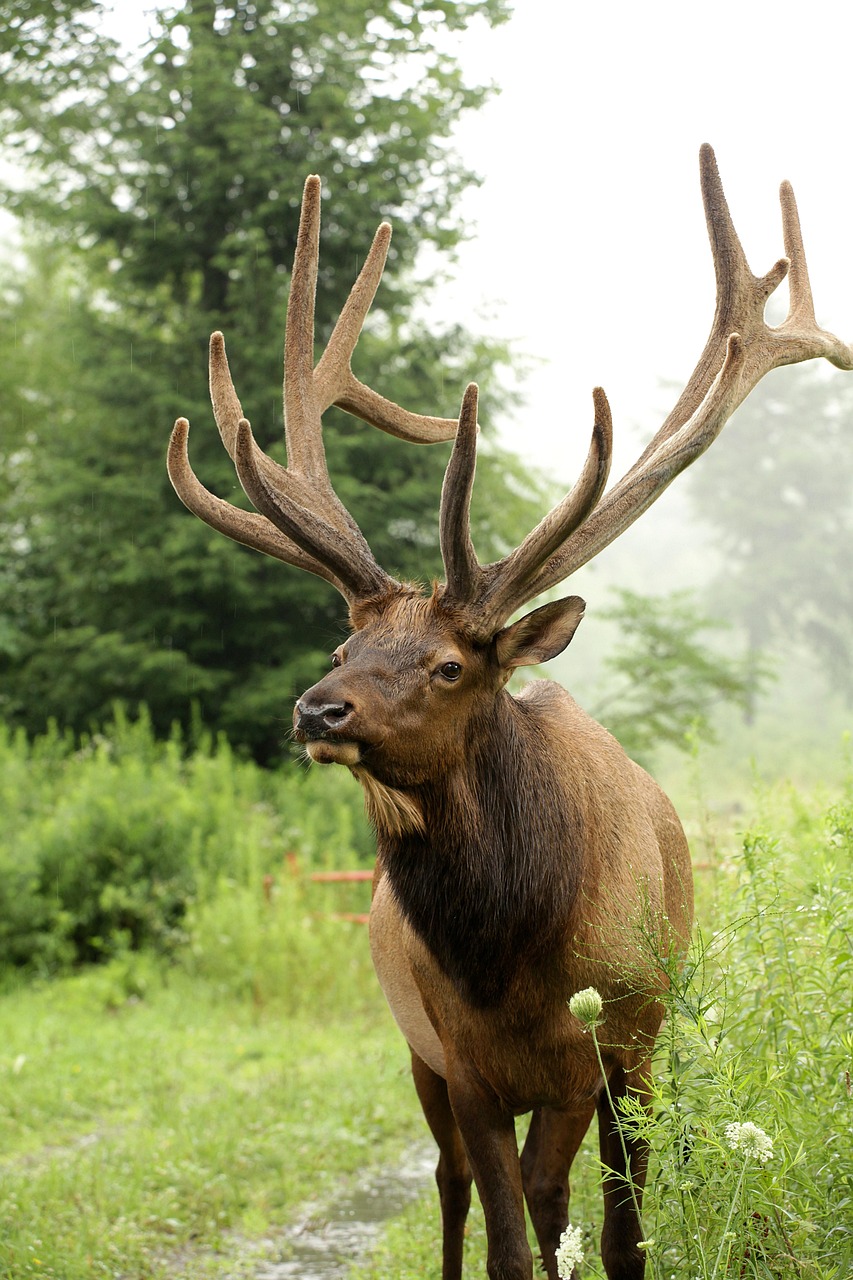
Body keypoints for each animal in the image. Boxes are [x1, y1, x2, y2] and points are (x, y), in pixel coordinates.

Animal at [166, 149, 850, 1280]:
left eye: (448, 665)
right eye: (345, 649)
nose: (317, 708)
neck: (509, 959)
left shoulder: (615, 1047)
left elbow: (608, 1226)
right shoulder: (465, 1060)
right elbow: (506, 1237)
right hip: (418, 1058)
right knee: (451, 1185)